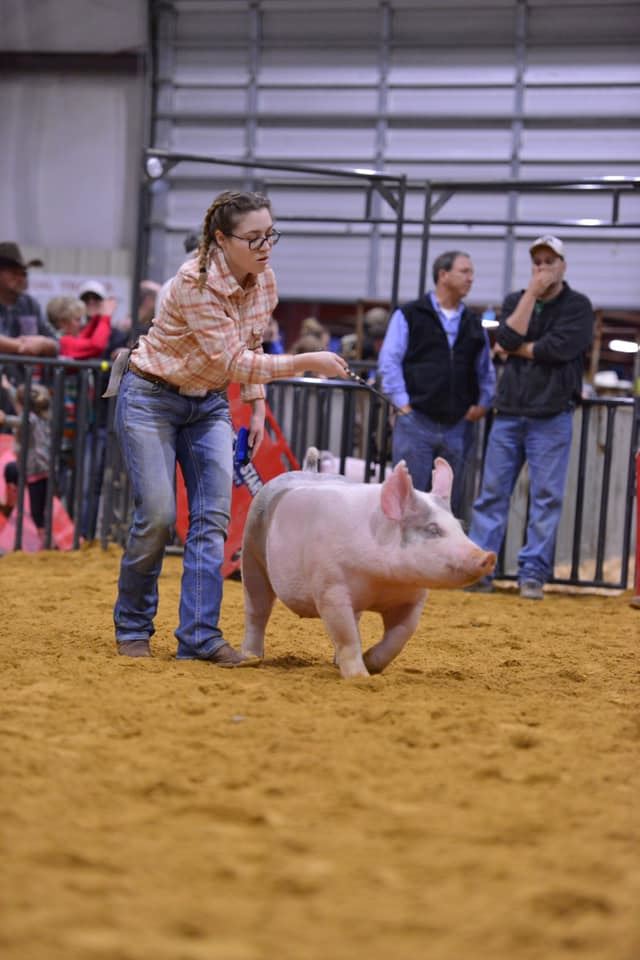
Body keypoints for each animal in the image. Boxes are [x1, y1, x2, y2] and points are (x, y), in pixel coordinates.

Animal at [240, 448, 496, 676]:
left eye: (460, 526)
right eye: (432, 529)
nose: (489, 556)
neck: (381, 581)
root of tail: (308, 469)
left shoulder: (412, 598)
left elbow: (400, 635)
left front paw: (371, 664)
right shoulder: (331, 588)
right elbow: (345, 635)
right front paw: (359, 677)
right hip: (252, 554)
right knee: (257, 610)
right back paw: (251, 658)